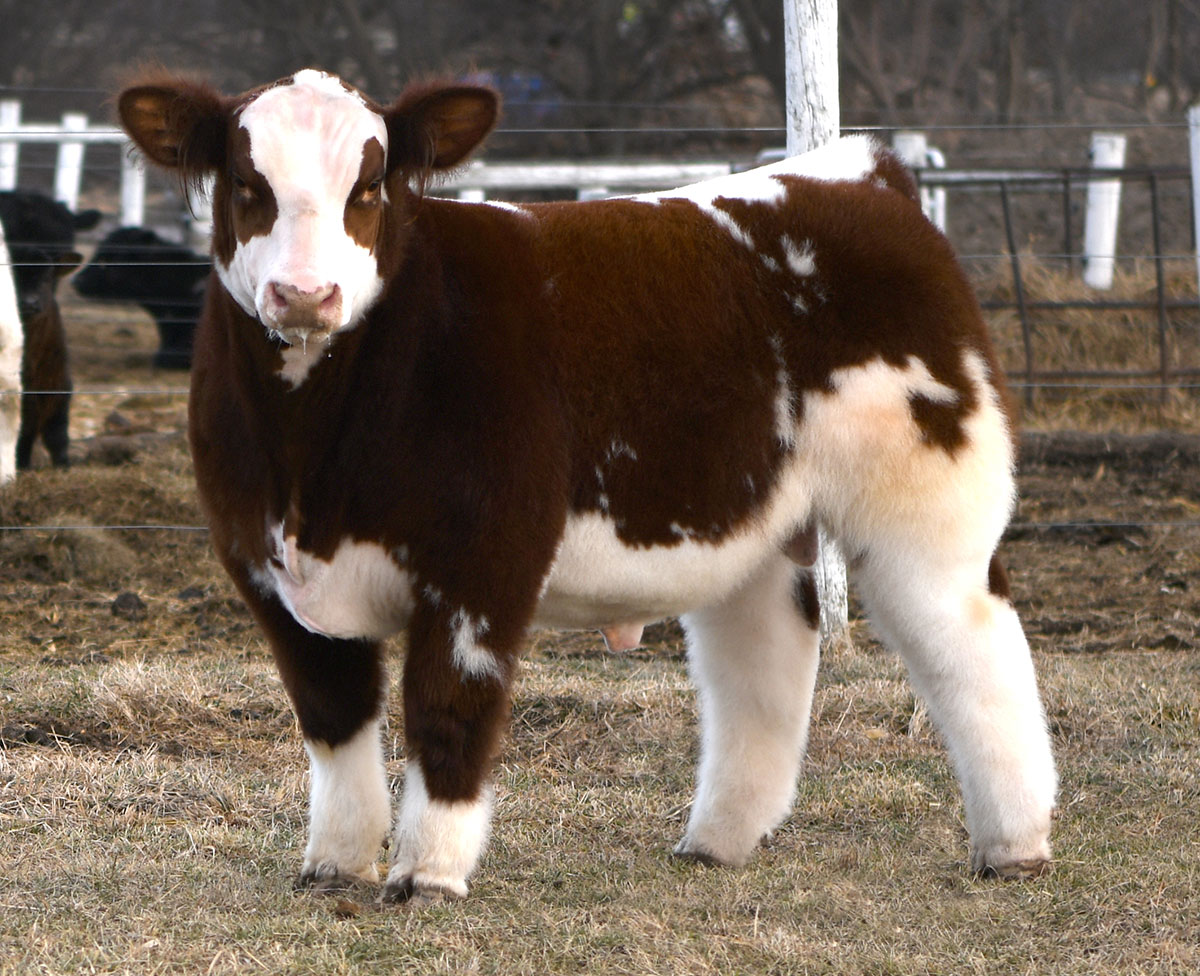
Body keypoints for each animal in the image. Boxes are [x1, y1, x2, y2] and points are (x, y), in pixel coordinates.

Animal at [117, 69, 1058, 904]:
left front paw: (428, 874)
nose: (306, 294)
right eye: (247, 183)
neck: (311, 458)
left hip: (931, 499)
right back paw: (715, 843)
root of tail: (859, 173)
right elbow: (333, 718)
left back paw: (1015, 845)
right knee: (760, 665)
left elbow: (447, 709)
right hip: (747, 521)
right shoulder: (264, 568)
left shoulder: (484, 559)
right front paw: (334, 865)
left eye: (370, 184)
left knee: (973, 649)